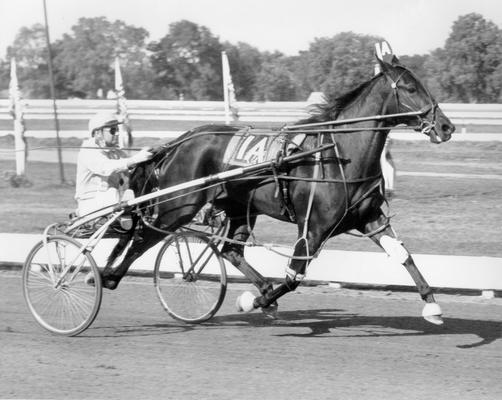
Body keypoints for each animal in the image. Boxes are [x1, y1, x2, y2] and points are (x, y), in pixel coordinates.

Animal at [100, 55, 452, 324]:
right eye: (410, 87)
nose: (446, 126)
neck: (338, 152)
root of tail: (178, 142)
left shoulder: (370, 219)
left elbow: (403, 254)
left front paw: (432, 306)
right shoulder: (312, 228)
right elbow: (294, 276)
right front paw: (252, 302)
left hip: (239, 209)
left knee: (229, 250)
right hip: (179, 205)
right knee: (142, 237)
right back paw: (107, 276)